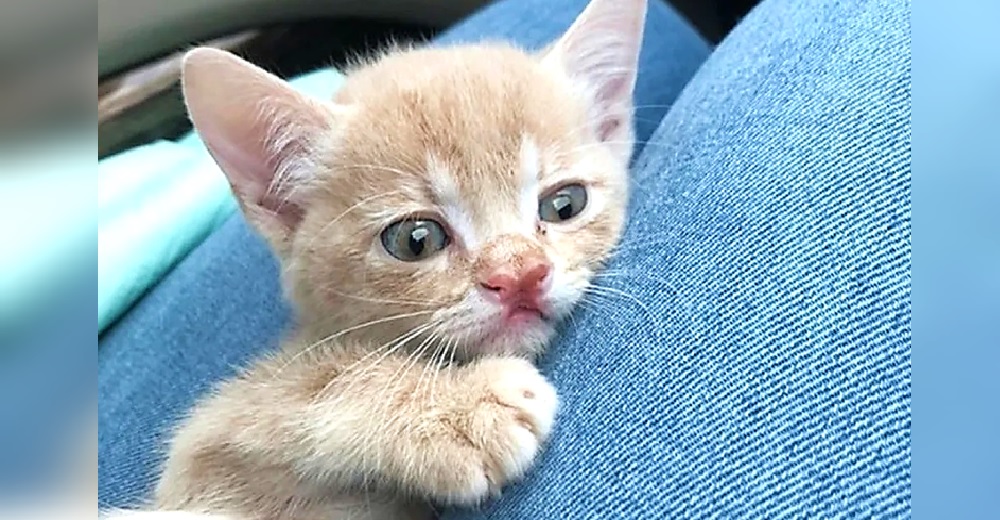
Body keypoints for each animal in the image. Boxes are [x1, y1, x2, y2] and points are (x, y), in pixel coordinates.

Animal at [107, 0, 640, 516]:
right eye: (415, 240)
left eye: (564, 204)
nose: (521, 274)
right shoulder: (196, 465)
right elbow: (310, 386)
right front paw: (461, 408)